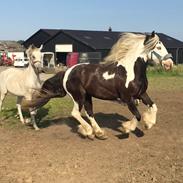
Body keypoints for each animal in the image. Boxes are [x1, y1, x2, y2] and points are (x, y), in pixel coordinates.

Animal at [22, 32, 173, 138]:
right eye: (158, 47)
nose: (169, 64)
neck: (131, 70)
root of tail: (67, 72)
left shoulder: (141, 94)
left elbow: (154, 106)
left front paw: (148, 124)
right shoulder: (128, 98)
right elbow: (137, 115)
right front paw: (127, 128)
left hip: (87, 96)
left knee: (89, 113)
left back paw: (99, 133)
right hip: (79, 96)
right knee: (76, 113)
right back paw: (89, 132)